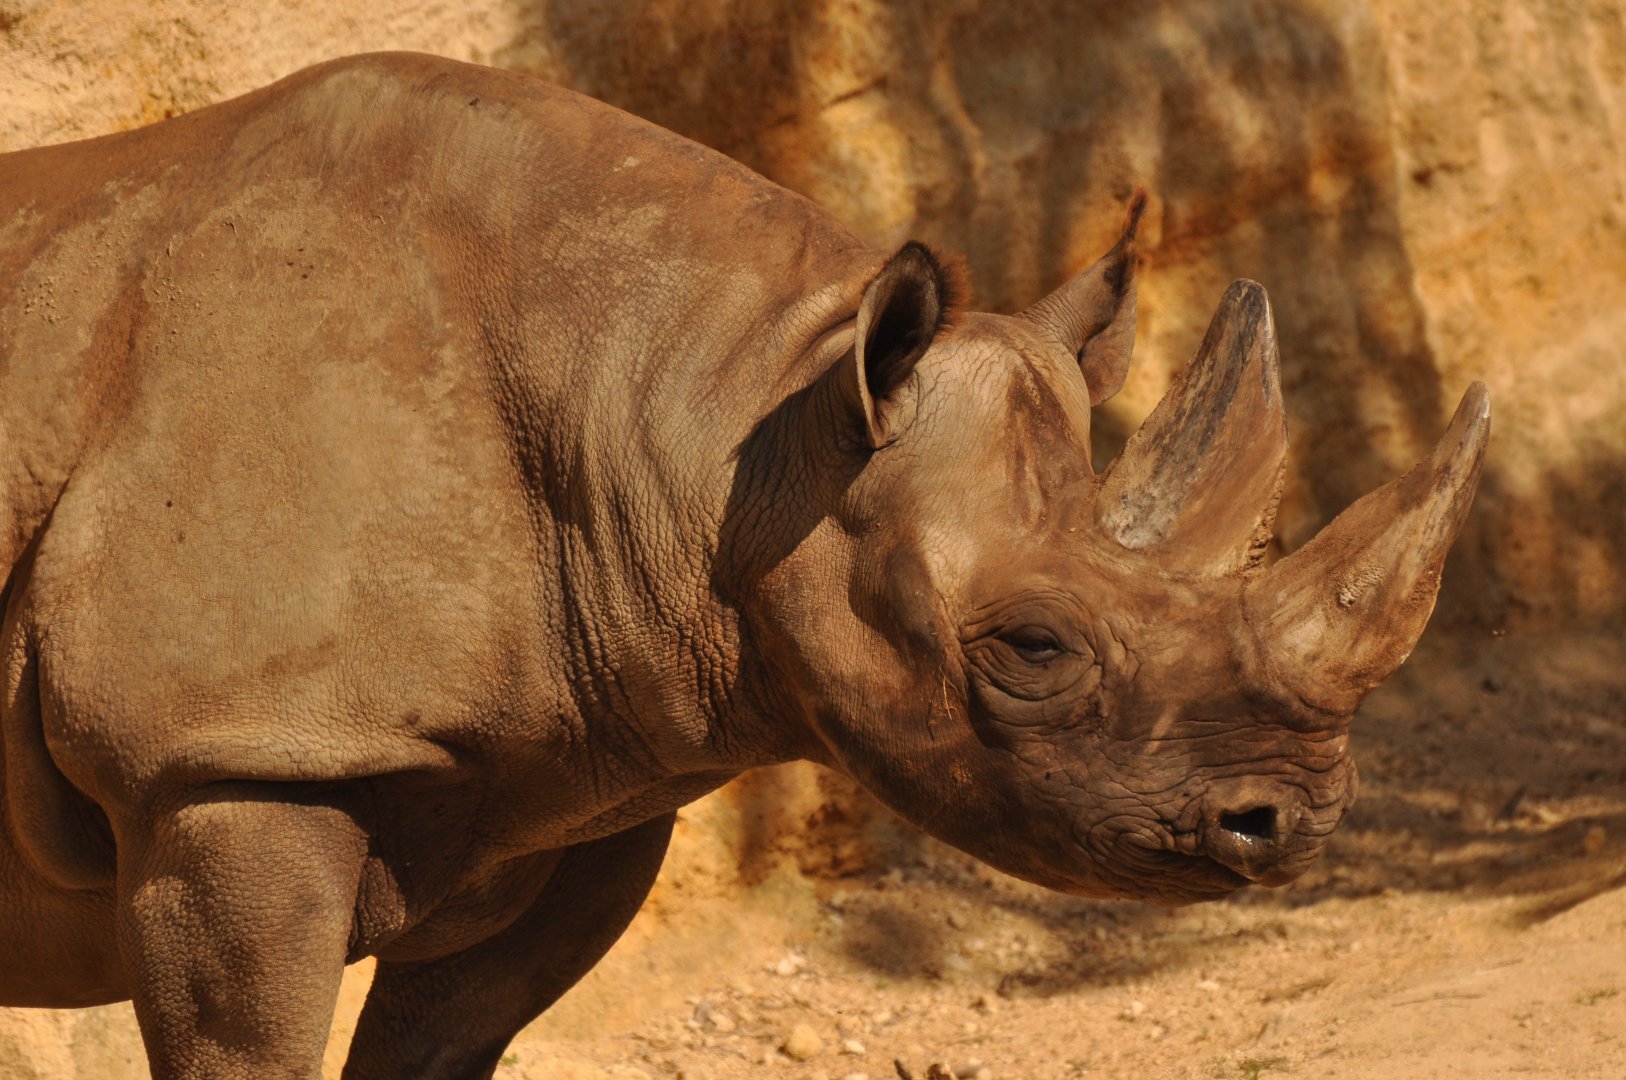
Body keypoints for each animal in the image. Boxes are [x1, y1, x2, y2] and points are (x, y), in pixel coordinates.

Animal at [0, 53, 1486, 1078]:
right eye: (1032, 650)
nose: (1296, 819)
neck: (731, 422)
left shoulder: (577, 785)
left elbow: (443, 1041)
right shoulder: (224, 756)